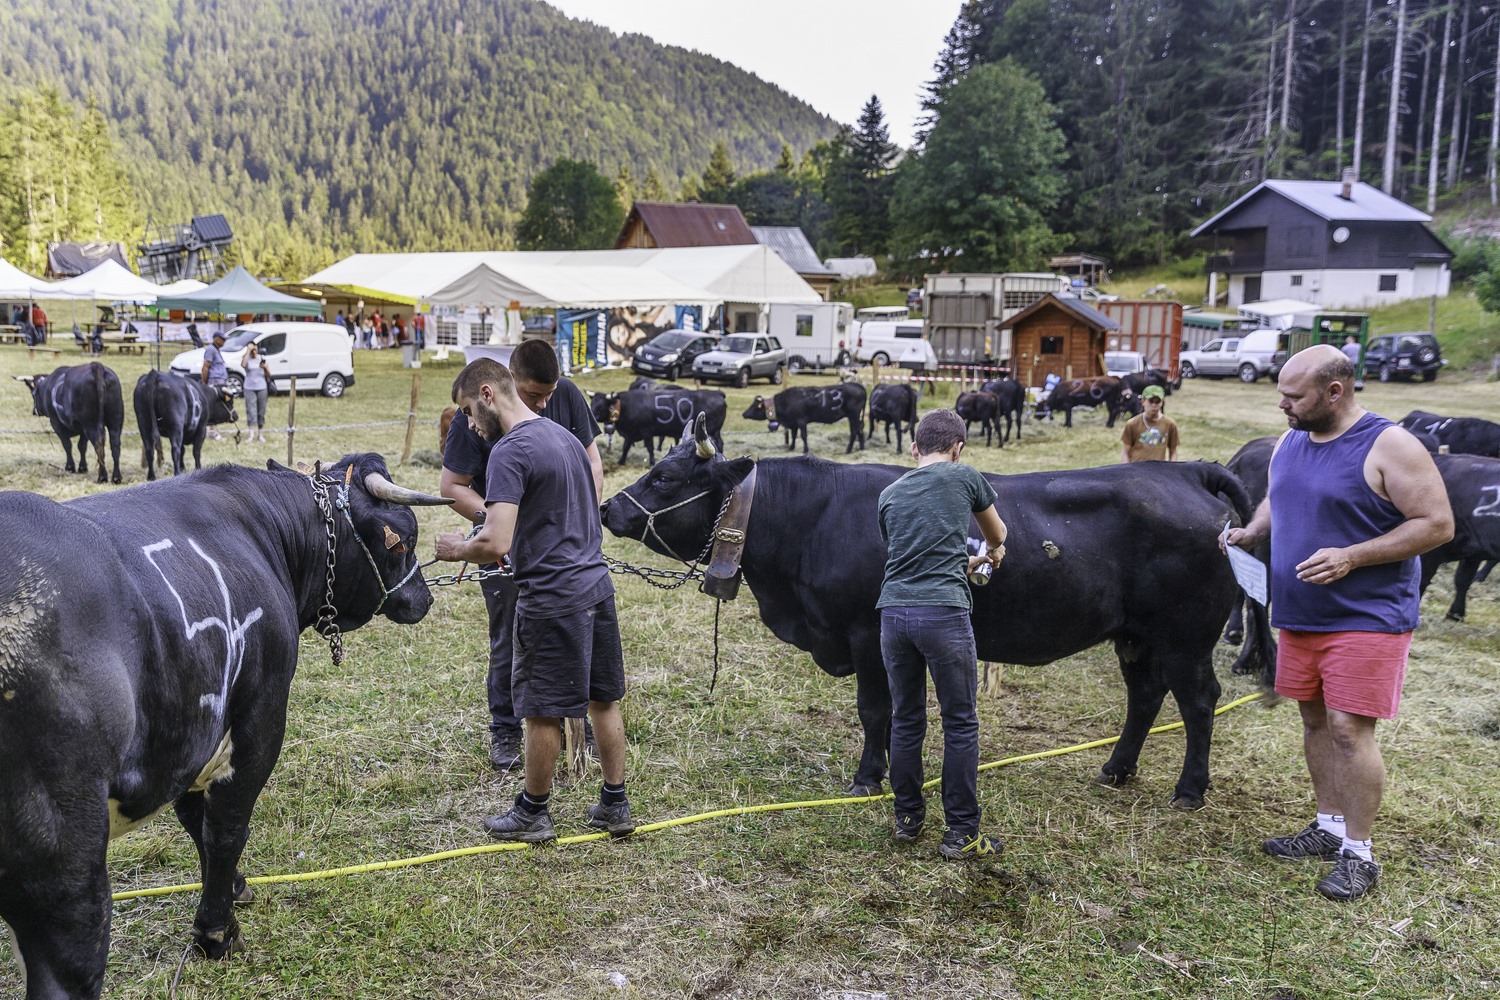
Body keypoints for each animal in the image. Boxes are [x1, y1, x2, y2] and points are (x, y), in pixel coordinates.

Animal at [0, 455, 450, 1000]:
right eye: (402, 540)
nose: (424, 598)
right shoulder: (259, 715)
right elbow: (226, 827)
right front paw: (217, 933)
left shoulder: (188, 738)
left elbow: (196, 818)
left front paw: (232, 887)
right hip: (65, 863)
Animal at [585, 386, 726, 464]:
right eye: (592, 403)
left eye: (600, 406)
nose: (591, 417)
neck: (625, 406)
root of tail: (717, 393)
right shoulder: (630, 433)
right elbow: (626, 447)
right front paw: (621, 461)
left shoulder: (646, 431)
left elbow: (650, 448)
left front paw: (652, 462)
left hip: (712, 430)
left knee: (718, 443)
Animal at [603, 419, 1272, 809]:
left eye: (664, 476)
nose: (609, 507)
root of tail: (1186, 470)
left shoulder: (866, 633)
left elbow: (875, 710)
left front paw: (868, 777)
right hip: (1135, 635)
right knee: (1145, 696)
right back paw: (1115, 768)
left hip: (1185, 638)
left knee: (1198, 701)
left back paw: (1189, 790)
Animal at [741, 386, 870, 455]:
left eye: (754, 406)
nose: (744, 414)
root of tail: (859, 386)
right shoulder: (793, 423)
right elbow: (793, 435)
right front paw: (791, 448)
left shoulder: (801, 421)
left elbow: (803, 436)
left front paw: (805, 450)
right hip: (856, 417)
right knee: (860, 429)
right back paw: (862, 448)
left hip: (853, 415)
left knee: (854, 431)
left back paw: (848, 450)